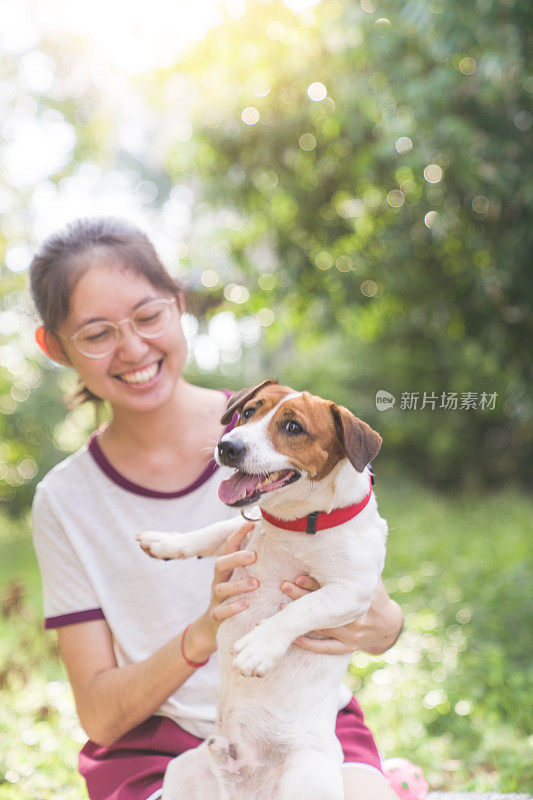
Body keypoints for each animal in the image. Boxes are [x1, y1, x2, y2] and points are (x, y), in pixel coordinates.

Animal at [136, 382, 386, 800]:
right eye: (249, 412)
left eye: (293, 427)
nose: (227, 447)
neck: (296, 523)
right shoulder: (237, 536)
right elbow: (209, 532)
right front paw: (166, 542)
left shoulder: (353, 592)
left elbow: (300, 609)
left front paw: (259, 647)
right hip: (183, 772)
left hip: (305, 779)